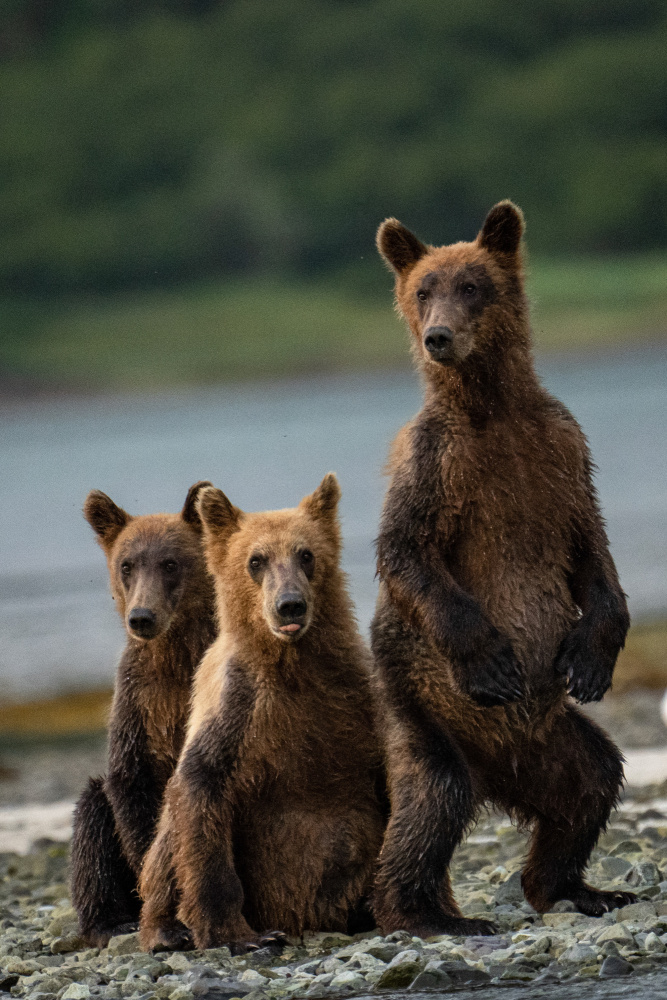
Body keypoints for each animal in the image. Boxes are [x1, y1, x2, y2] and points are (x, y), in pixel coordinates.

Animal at [70, 482, 217, 944]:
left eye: (170, 563)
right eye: (127, 564)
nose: (142, 617)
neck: (174, 659)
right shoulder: (137, 702)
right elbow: (131, 785)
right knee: (92, 820)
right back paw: (112, 920)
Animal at [141, 476, 386, 952]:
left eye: (306, 554)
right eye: (256, 560)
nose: (289, 604)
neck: (292, 665)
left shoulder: (355, 699)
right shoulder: (238, 712)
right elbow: (200, 793)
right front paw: (234, 932)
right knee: (163, 847)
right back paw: (166, 930)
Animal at [370, 203, 636, 936]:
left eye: (472, 285)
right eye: (422, 289)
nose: (438, 337)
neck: (492, 407)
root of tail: (499, 771)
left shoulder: (561, 456)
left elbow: (591, 551)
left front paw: (591, 658)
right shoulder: (434, 462)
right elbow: (405, 549)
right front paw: (488, 658)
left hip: (551, 738)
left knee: (591, 782)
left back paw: (578, 888)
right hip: (420, 711)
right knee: (431, 801)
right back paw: (430, 914)